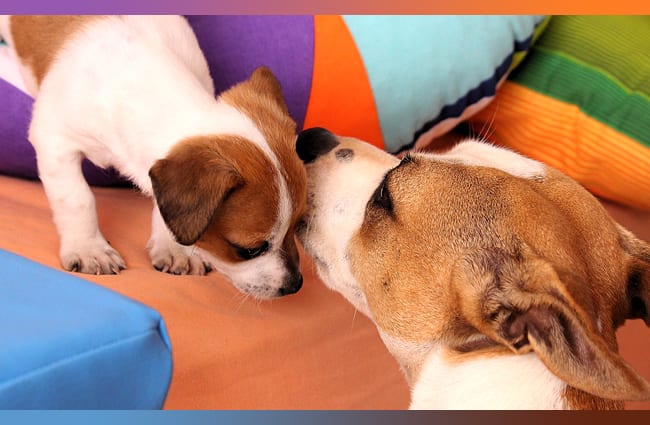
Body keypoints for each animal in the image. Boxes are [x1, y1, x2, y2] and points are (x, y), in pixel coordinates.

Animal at [0, 15, 306, 298]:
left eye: (297, 226)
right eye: (249, 250)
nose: (296, 285)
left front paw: (174, 249)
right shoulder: (55, 139)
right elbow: (78, 199)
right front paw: (89, 248)